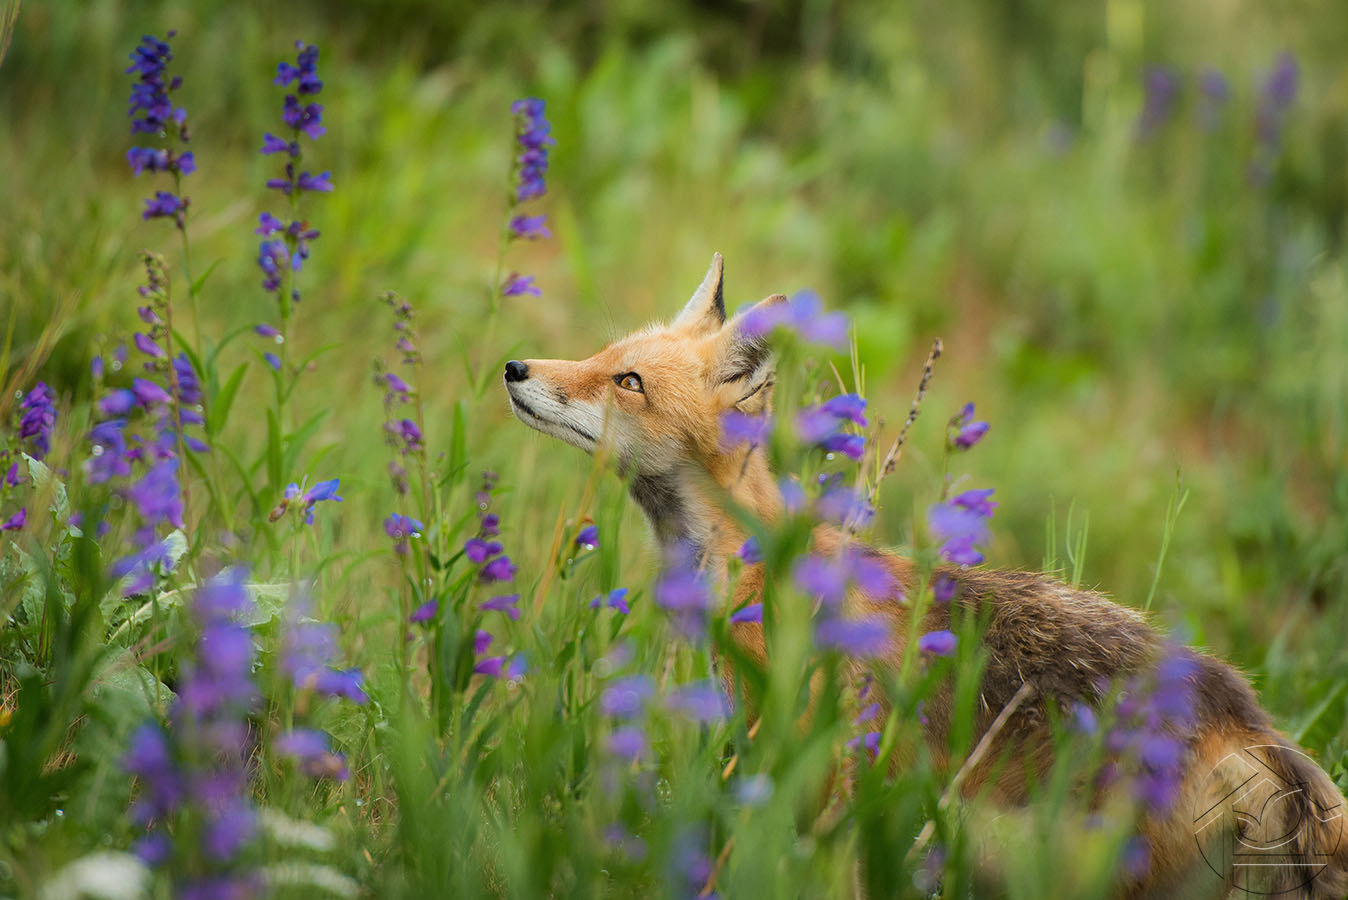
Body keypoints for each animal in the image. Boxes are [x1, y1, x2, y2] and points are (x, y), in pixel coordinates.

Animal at [506, 254, 1348, 900]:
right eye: (600, 359)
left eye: (627, 382)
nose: (515, 366)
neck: (751, 568)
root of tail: (1250, 721)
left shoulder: (802, 770)